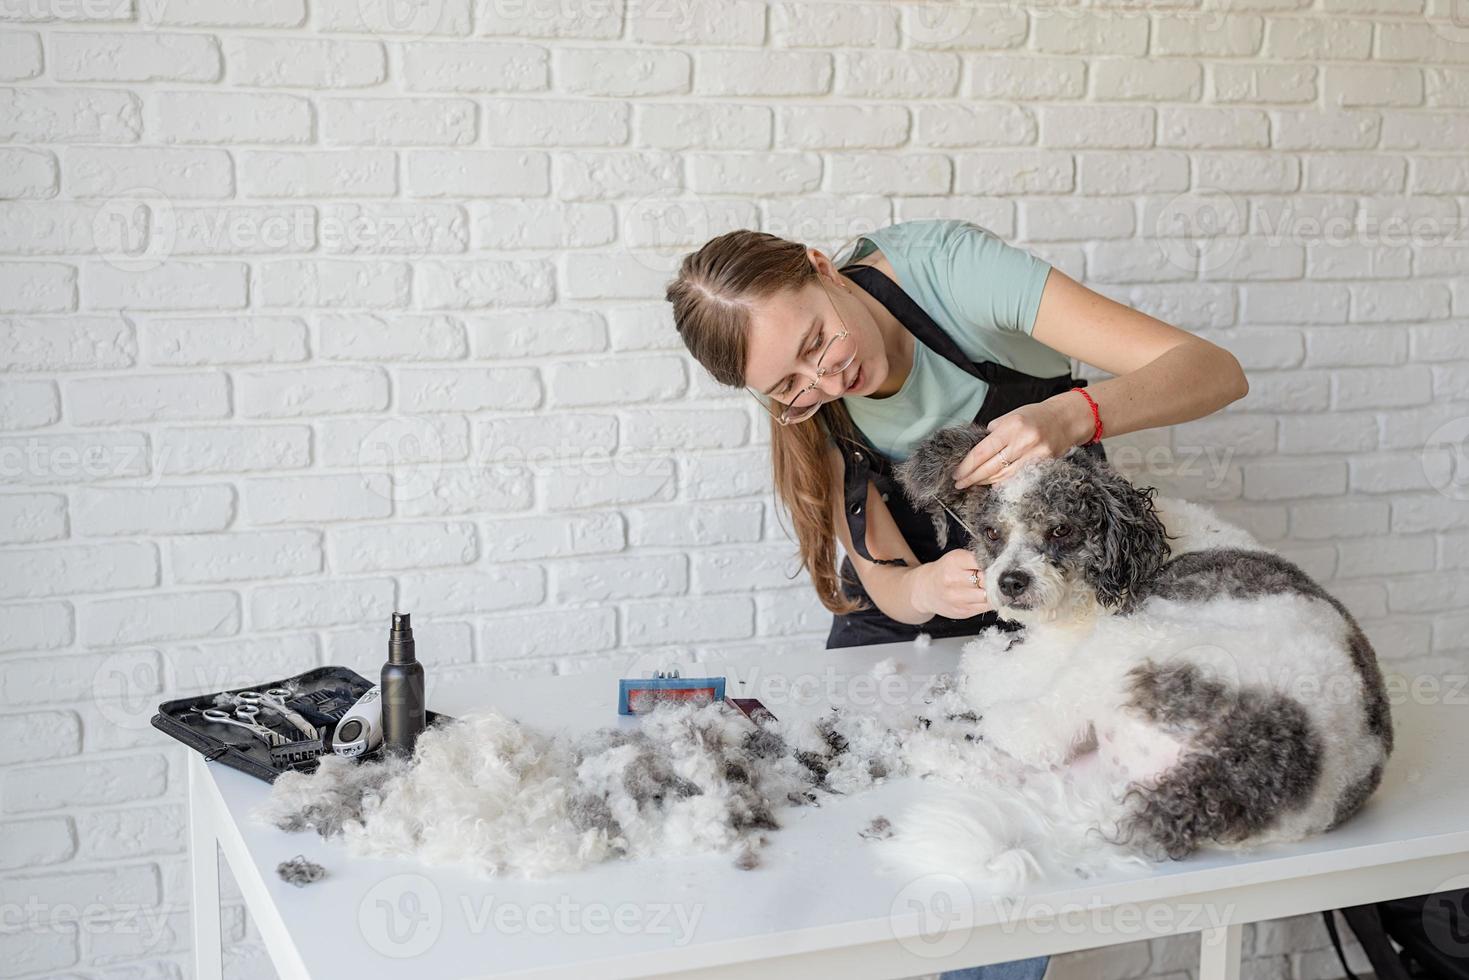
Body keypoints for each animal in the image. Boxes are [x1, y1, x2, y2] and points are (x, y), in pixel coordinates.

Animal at [887, 426, 1392, 875]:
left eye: (1061, 530)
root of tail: (1234, 770)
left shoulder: (1064, 645)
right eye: (991, 533)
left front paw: (986, 659)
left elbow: (988, 668)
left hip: (1126, 646)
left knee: (1039, 736)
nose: (1012, 582)